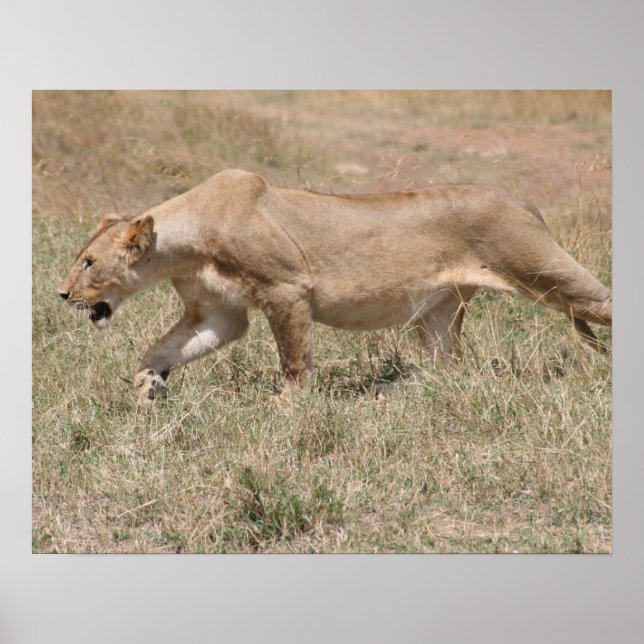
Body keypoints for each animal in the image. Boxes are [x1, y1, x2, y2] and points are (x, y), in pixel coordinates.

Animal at [58, 169, 612, 402]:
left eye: (88, 262)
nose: (62, 295)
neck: (187, 243)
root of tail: (522, 200)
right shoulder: (219, 313)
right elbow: (164, 350)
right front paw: (147, 388)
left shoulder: (287, 289)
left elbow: (294, 360)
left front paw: (287, 407)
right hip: (438, 312)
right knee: (446, 367)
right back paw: (406, 393)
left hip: (543, 269)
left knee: (603, 301)